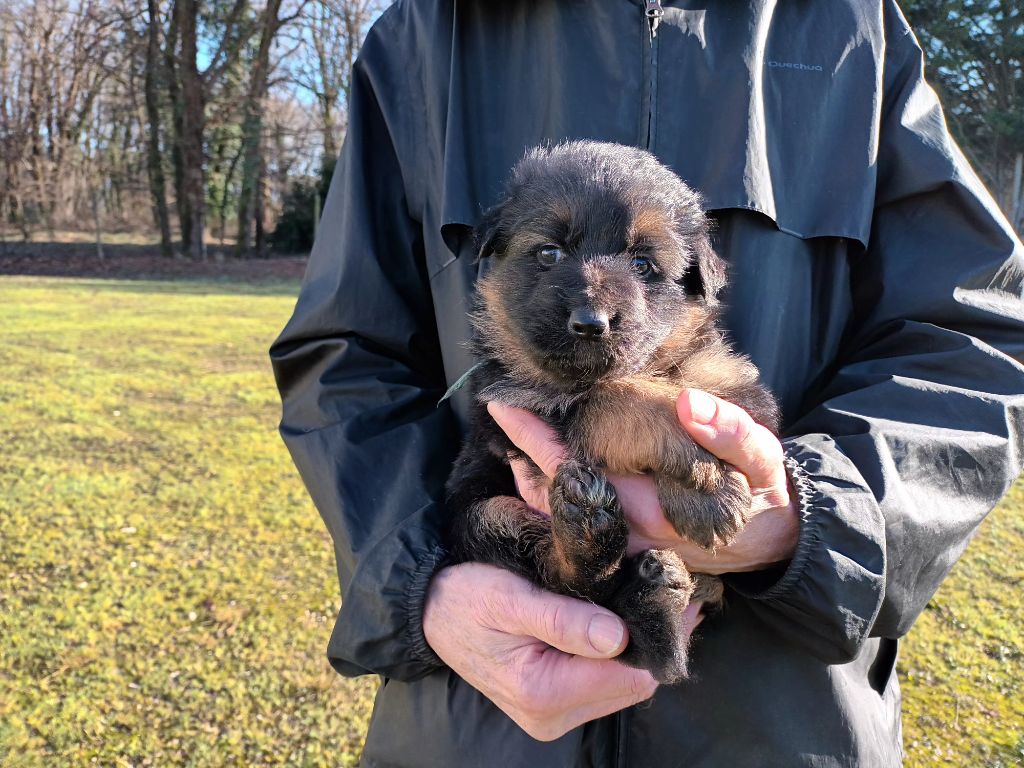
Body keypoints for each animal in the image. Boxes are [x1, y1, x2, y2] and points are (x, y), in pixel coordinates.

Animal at [444, 141, 778, 684]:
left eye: (643, 263)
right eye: (549, 253)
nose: (590, 323)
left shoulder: (739, 391)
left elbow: (689, 389)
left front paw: (703, 486)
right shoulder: (515, 403)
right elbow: (616, 399)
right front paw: (706, 483)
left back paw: (655, 595)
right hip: (477, 517)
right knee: (571, 580)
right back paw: (589, 538)